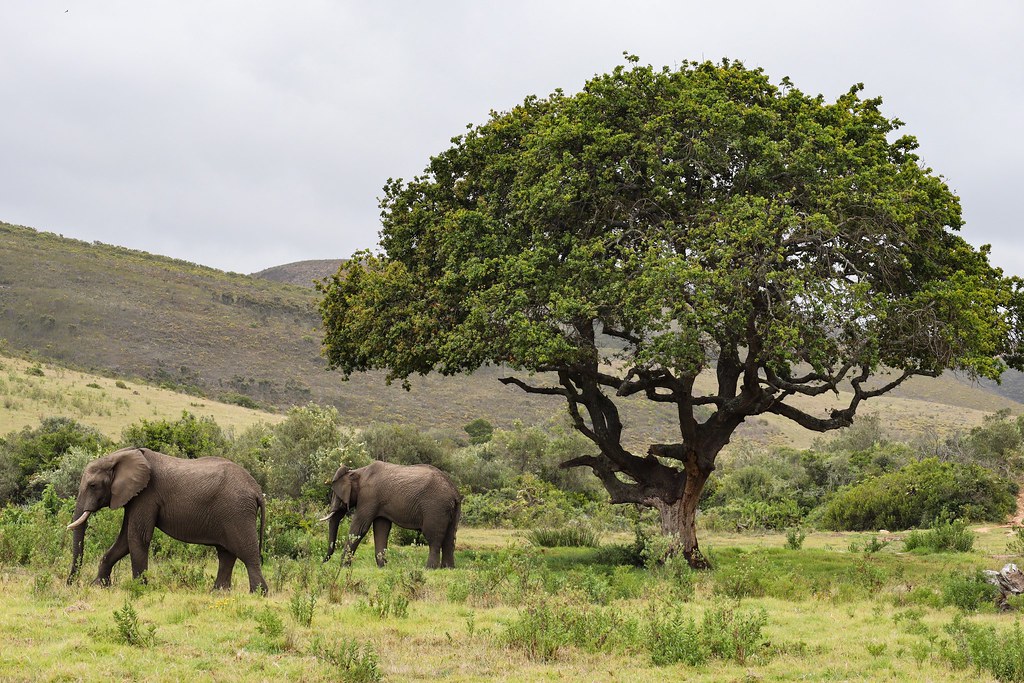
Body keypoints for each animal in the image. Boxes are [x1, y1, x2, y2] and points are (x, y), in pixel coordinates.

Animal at [66, 447, 268, 593]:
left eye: (93, 485)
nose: (70, 583)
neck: (121, 455)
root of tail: (257, 490)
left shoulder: (146, 495)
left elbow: (137, 537)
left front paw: (139, 589)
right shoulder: (134, 497)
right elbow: (124, 540)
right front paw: (99, 586)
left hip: (238, 511)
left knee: (247, 553)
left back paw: (258, 593)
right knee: (226, 554)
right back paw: (218, 593)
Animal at [321, 461, 461, 569]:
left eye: (336, 494)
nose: (322, 561)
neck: (358, 471)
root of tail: (454, 491)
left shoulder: (368, 497)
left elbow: (359, 528)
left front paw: (343, 567)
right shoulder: (378, 502)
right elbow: (381, 528)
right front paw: (382, 567)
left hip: (435, 507)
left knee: (433, 537)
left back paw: (429, 568)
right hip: (451, 510)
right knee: (450, 538)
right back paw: (448, 568)